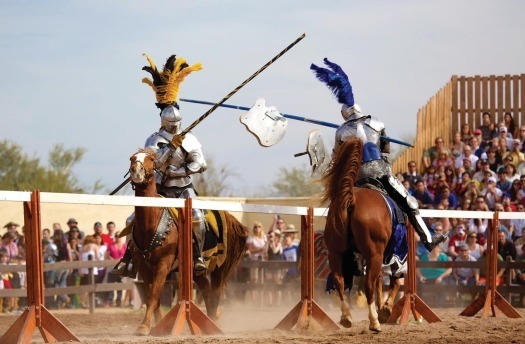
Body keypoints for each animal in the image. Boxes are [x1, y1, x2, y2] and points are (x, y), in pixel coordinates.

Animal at [128, 150, 248, 334]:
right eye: (132, 158)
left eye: (152, 159)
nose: (136, 171)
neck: (151, 224)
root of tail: (226, 215)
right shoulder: (143, 266)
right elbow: (153, 297)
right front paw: (155, 326)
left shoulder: (164, 263)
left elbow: (153, 295)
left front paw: (143, 326)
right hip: (195, 271)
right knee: (206, 290)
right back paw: (210, 322)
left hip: (218, 266)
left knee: (215, 292)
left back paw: (213, 323)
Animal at [320, 136, 402, 330]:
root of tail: (352, 199)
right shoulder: (395, 253)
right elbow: (395, 280)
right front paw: (386, 309)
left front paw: (382, 308)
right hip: (374, 254)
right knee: (369, 284)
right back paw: (374, 322)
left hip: (336, 253)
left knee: (340, 280)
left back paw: (346, 317)